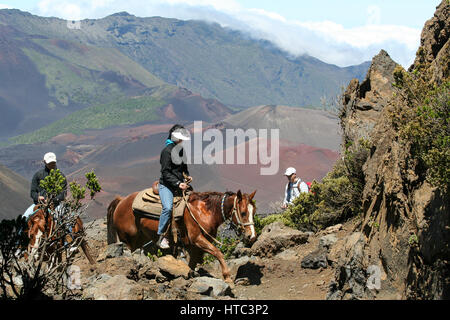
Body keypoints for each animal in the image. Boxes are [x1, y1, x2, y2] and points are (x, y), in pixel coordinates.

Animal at [106, 189, 258, 284]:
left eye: (254, 212)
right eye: (243, 213)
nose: (251, 236)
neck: (205, 212)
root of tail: (121, 200)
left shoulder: (194, 245)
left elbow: (193, 262)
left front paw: (189, 275)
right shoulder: (198, 240)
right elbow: (217, 252)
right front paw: (227, 276)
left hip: (139, 239)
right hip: (128, 240)